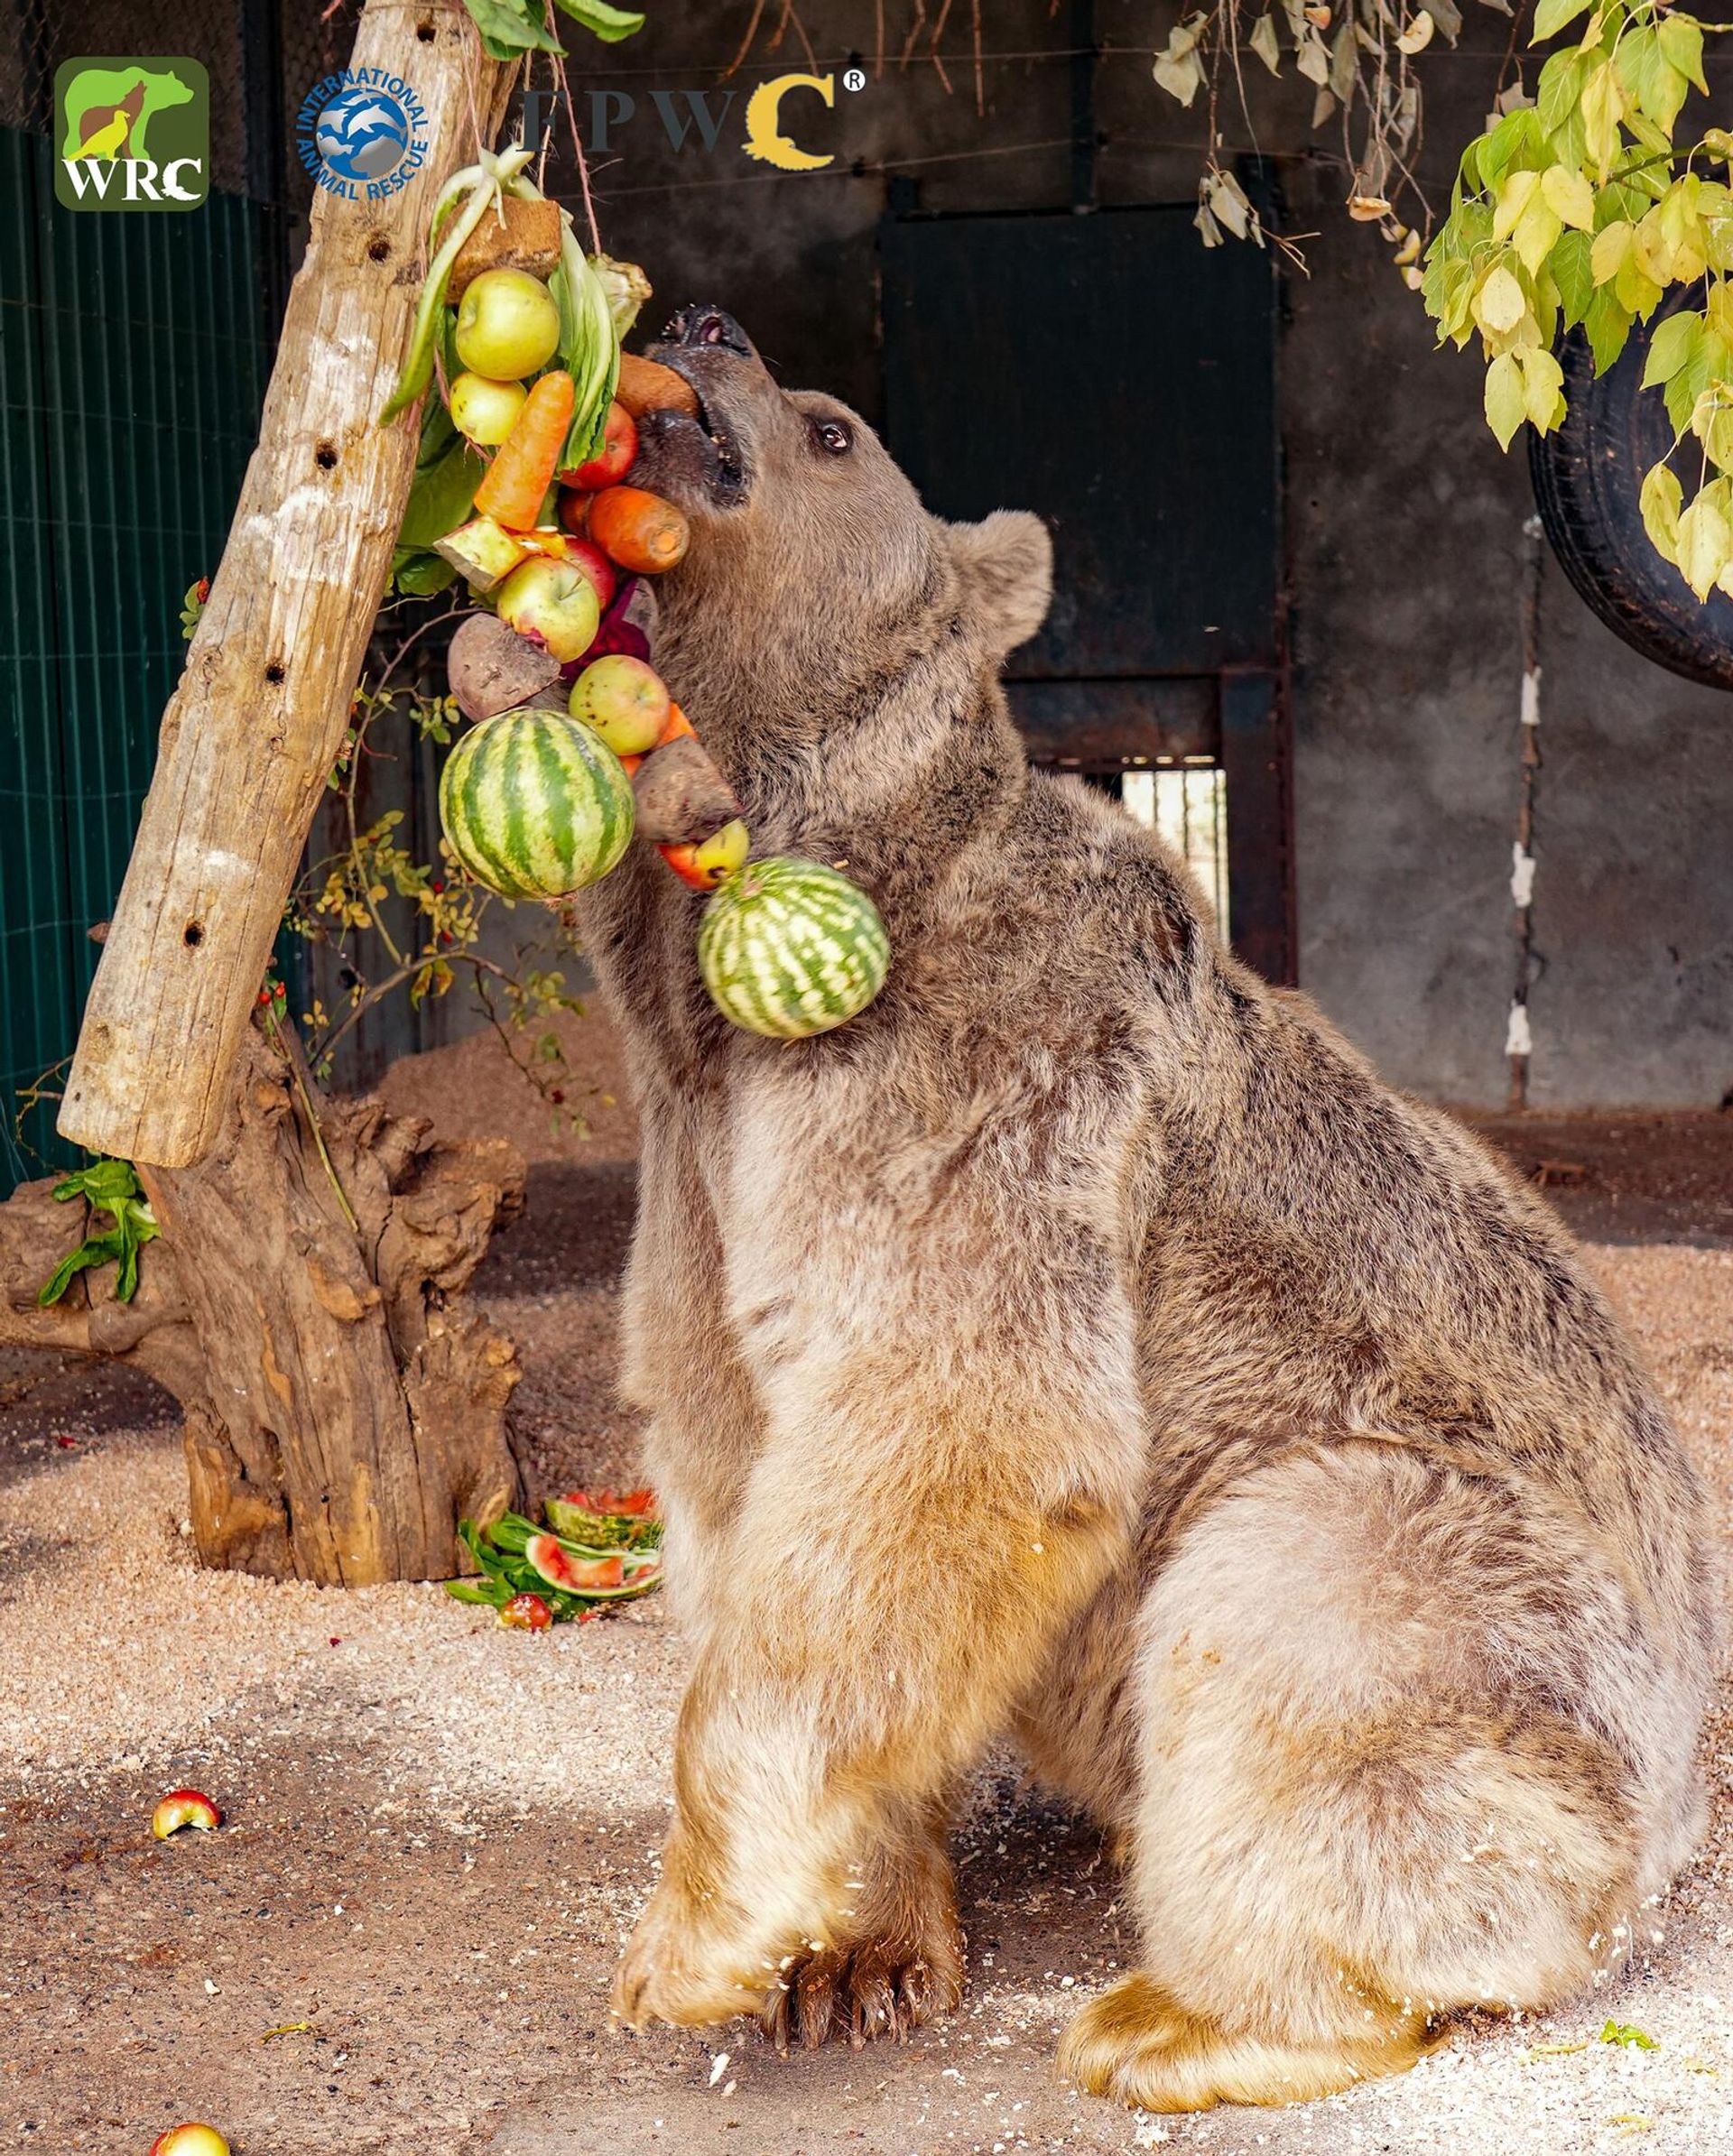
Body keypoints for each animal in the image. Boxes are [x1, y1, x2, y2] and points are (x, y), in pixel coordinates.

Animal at [572, 304, 1718, 2111]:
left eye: (831, 427)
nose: (702, 322)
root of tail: (1679, 1816)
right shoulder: (699, 1145)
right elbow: (751, 1461)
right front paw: (849, 1953)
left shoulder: (1000, 1072)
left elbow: (962, 1420)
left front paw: (688, 1942)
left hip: (1491, 1617)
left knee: (1302, 1608)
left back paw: (1176, 2014)